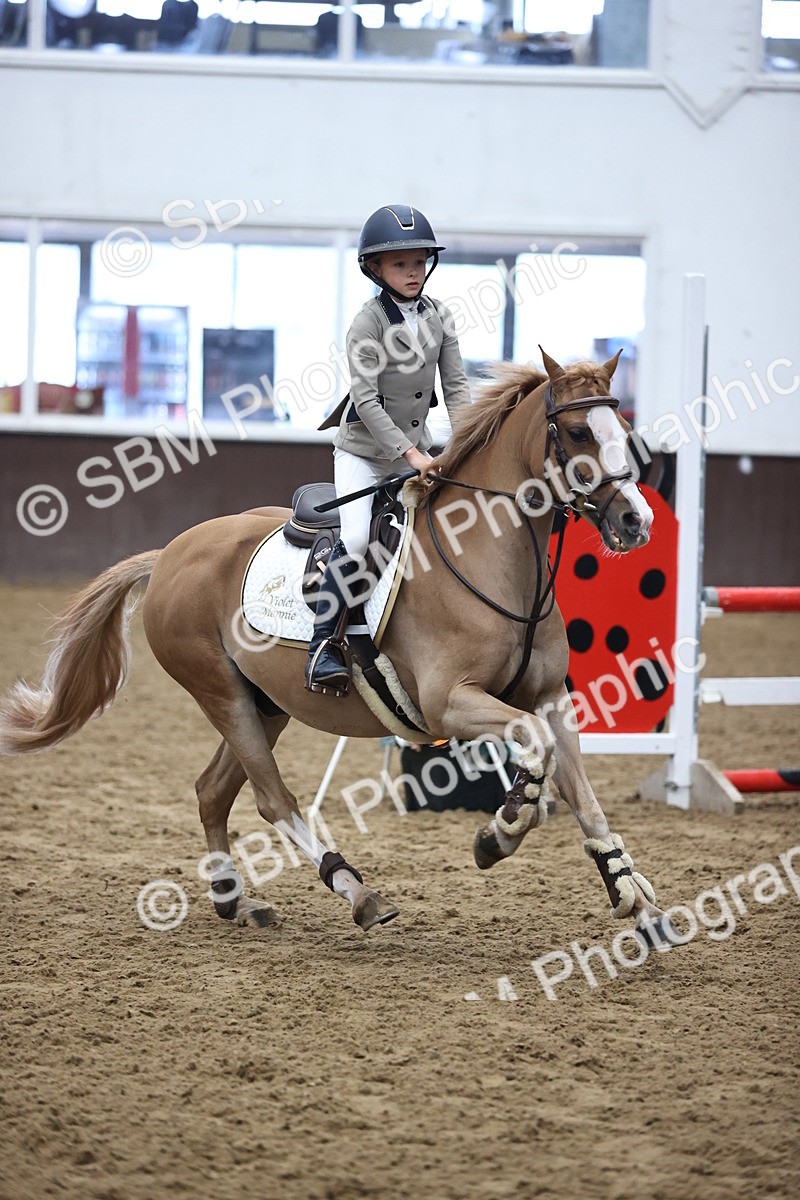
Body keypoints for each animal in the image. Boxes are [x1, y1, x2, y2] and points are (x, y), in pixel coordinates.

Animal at [0, 348, 671, 943]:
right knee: (272, 799)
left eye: (624, 429)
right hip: (222, 695)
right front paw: (499, 833)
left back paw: (235, 901)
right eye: (579, 431)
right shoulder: (449, 704)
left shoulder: (551, 699)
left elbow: (583, 794)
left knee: (213, 791)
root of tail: (168, 554)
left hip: (265, 703)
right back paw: (357, 892)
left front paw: (633, 898)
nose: (636, 522)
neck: (492, 557)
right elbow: (534, 748)